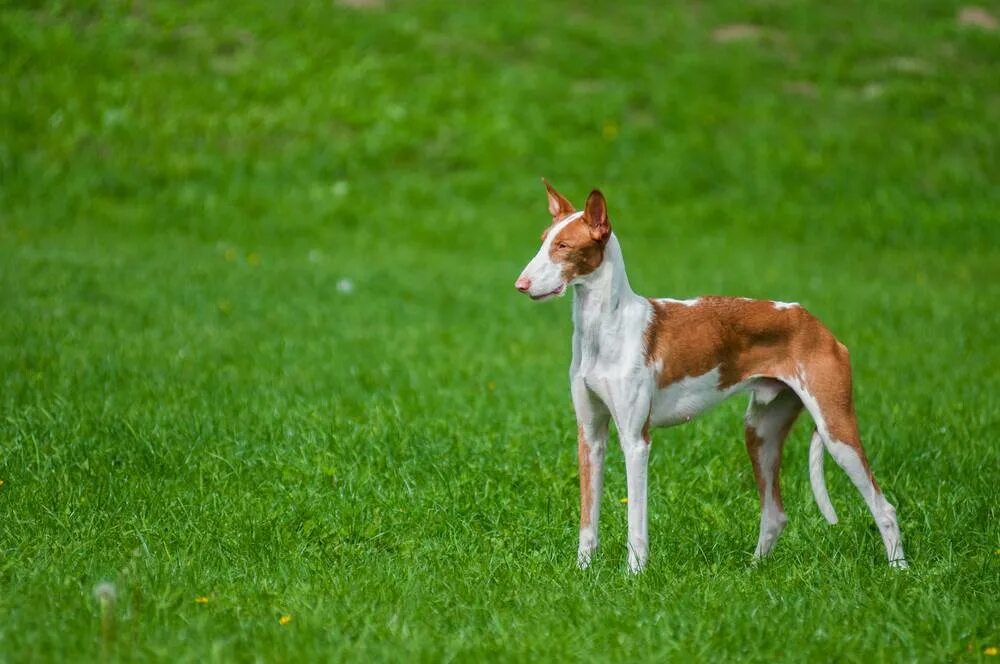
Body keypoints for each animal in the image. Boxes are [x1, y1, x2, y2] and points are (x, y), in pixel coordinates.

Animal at [516, 180, 908, 572]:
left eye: (563, 246)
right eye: (542, 240)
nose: (520, 285)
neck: (603, 328)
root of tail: (818, 325)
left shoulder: (636, 441)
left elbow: (636, 522)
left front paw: (634, 575)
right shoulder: (591, 435)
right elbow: (588, 519)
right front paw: (583, 573)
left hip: (836, 430)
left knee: (884, 508)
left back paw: (900, 570)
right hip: (760, 432)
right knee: (775, 514)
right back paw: (753, 570)